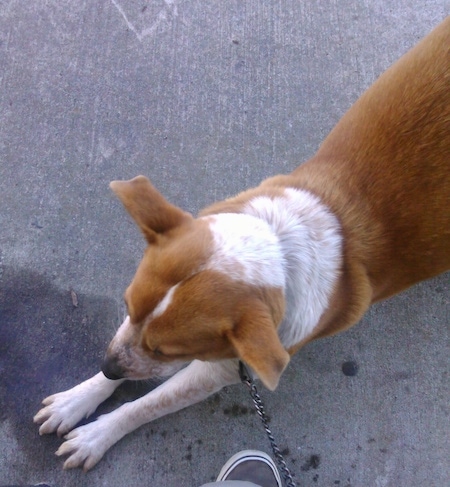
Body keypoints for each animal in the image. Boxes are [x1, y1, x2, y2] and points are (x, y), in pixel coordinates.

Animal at [33, 19, 448, 472]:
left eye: (163, 349)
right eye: (126, 305)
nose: (107, 369)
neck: (281, 243)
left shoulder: (226, 366)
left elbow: (149, 403)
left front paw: (99, 432)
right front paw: (80, 397)